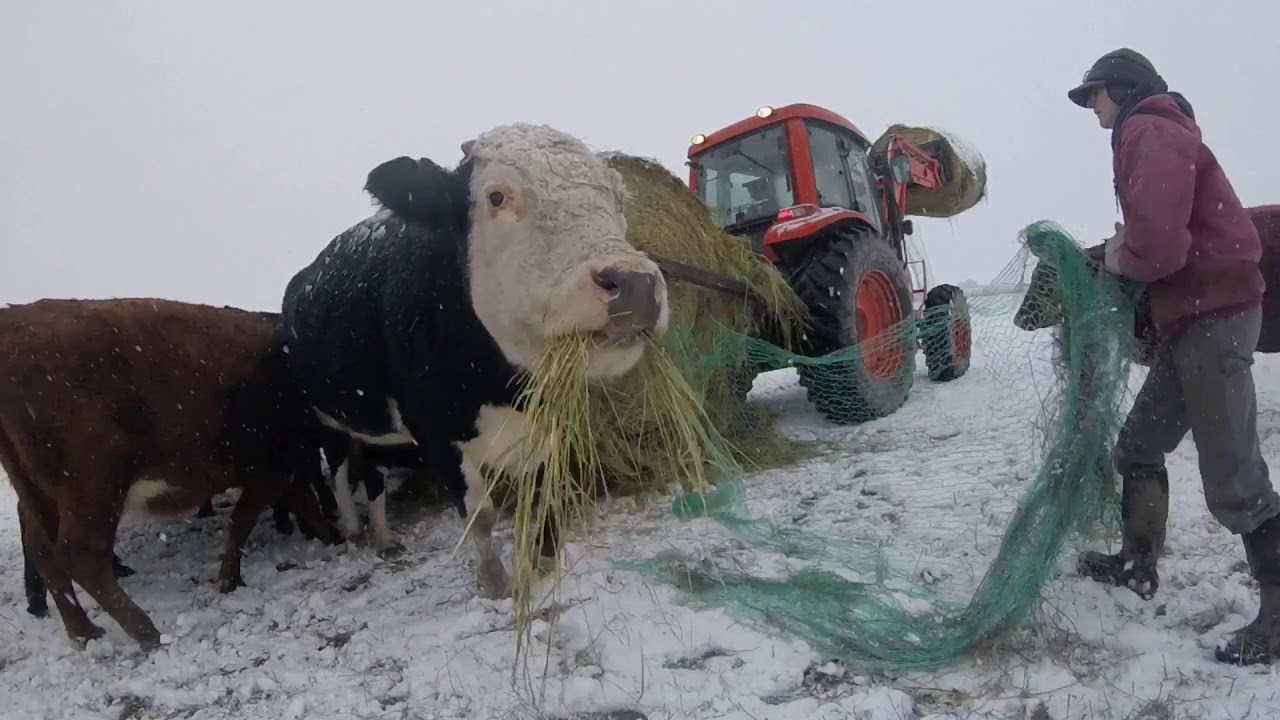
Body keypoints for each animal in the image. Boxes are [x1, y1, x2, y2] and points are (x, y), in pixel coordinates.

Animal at [0, 298, 343, 650]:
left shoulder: (287, 466)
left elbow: (302, 503)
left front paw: (332, 537)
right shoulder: (272, 468)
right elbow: (245, 519)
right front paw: (230, 579)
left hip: (37, 491)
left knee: (43, 551)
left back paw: (83, 631)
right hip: (91, 487)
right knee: (80, 555)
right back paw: (147, 632)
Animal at [280, 122, 670, 600]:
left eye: (619, 198)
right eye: (496, 196)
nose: (634, 282)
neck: (506, 389)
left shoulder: (555, 422)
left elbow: (547, 496)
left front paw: (541, 566)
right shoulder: (435, 432)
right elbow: (479, 515)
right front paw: (496, 585)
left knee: (372, 473)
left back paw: (384, 536)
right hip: (326, 414)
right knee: (338, 470)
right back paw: (354, 531)